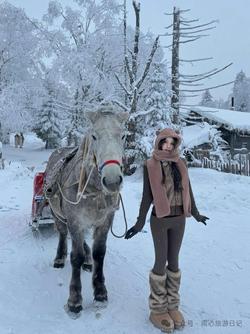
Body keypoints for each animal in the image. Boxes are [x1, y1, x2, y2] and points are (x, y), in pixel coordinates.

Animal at [43, 104, 128, 314]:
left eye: (123, 135)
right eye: (94, 136)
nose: (112, 180)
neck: (94, 191)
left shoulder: (105, 220)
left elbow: (99, 253)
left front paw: (100, 292)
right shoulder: (76, 220)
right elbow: (76, 256)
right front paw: (74, 299)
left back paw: (88, 261)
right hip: (58, 215)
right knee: (63, 233)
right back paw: (60, 257)